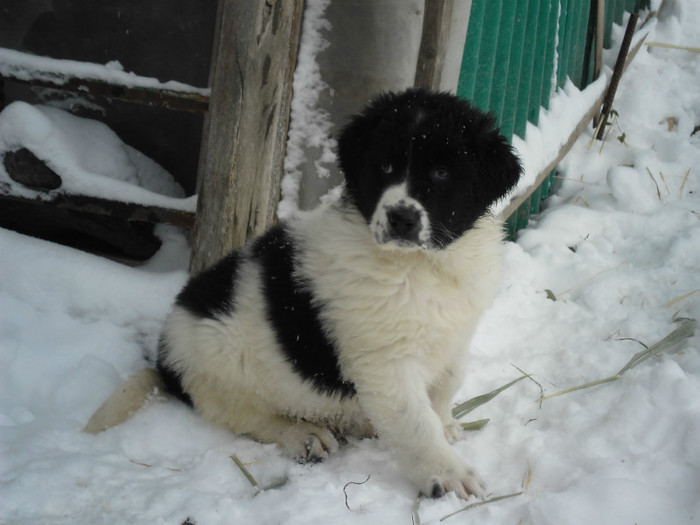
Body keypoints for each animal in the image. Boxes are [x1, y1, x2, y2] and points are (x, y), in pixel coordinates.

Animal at [85, 89, 520, 500]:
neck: (421, 265)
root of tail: (164, 360)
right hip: (221, 361)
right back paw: (304, 436)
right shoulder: (384, 362)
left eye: (442, 172)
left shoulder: (456, 335)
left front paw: (447, 425)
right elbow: (413, 421)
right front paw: (448, 475)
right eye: (384, 166)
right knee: (246, 415)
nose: (401, 218)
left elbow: (447, 384)